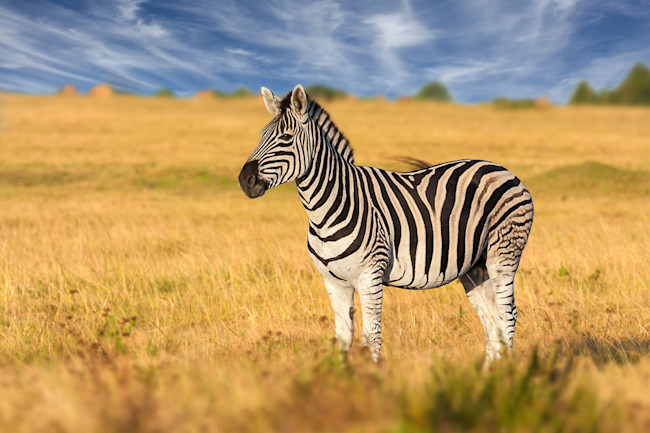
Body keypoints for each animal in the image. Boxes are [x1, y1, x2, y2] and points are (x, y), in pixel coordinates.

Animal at [239, 85, 533, 362]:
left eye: (286, 138)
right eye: (261, 135)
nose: (245, 180)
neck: (327, 209)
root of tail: (501, 168)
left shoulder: (370, 276)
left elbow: (371, 339)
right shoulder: (333, 281)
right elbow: (343, 338)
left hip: (503, 254)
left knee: (507, 316)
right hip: (474, 267)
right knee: (492, 321)